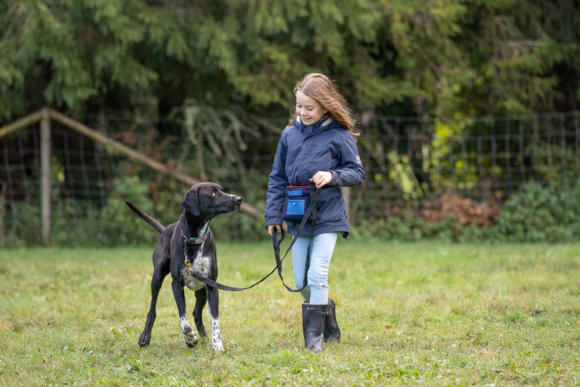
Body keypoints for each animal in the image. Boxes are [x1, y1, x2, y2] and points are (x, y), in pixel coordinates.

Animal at [127, 182, 242, 352]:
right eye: (213, 194)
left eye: (222, 190)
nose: (239, 199)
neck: (194, 240)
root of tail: (165, 229)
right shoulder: (176, 284)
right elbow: (183, 318)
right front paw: (190, 338)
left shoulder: (211, 286)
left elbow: (214, 320)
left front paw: (217, 345)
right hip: (157, 277)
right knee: (152, 310)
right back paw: (145, 337)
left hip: (201, 291)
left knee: (196, 314)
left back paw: (205, 338)